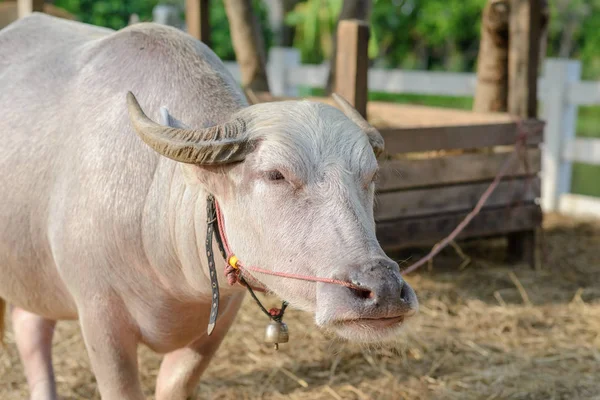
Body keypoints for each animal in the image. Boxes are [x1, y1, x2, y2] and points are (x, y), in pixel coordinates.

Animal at [0, 12, 418, 400]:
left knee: (30, 324)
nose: (383, 290)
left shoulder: (220, 316)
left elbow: (176, 384)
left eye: (370, 175)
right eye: (275, 174)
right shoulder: (99, 317)